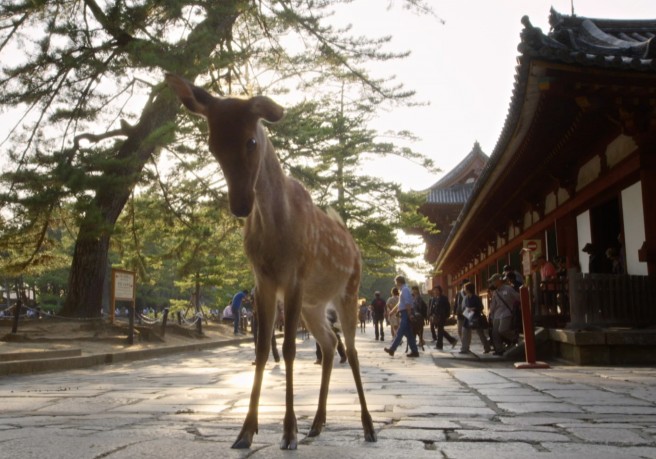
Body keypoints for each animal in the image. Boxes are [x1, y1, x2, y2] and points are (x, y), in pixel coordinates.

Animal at [167, 73, 376, 452]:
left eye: (251, 140)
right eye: (212, 145)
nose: (240, 205)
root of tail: (353, 245)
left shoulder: (295, 274)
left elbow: (291, 349)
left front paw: (288, 432)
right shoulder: (262, 280)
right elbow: (263, 347)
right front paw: (245, 432)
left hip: (349, 291)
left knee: (351, 350)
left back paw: (367, 426)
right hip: (313, 304)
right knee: (329, 343)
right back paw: (317, 424)